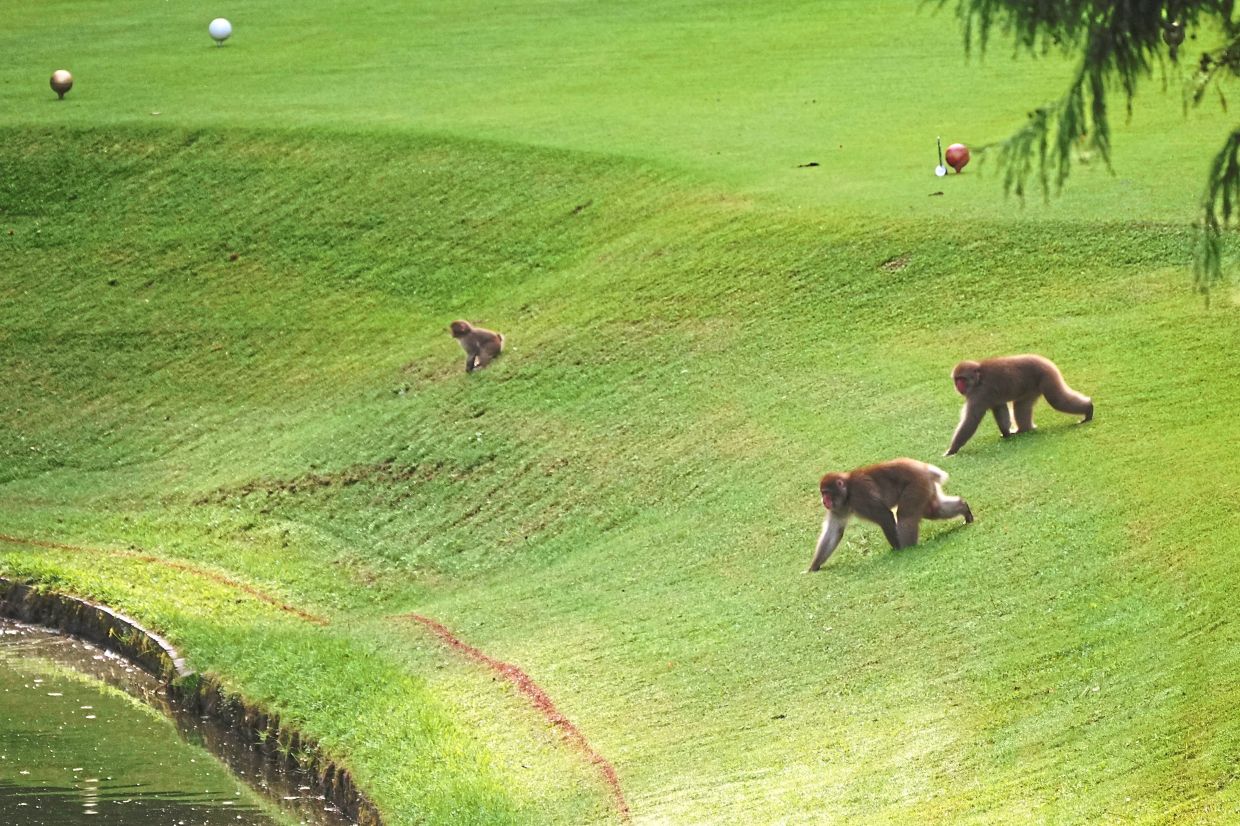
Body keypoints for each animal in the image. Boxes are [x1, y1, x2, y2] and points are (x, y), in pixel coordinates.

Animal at [807, 458, 972, 571]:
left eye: (827, 493)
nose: (824, 501)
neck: (847, 492)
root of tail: (923, 467)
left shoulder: (861, 496)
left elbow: (884, 516)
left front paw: (898, 549)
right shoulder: (838, 508)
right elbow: (834, 532)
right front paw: (813, 567)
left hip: (916, 484)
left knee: (906, 516)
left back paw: (907, 548)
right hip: (925, 487)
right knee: (934, 510)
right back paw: (964, 508)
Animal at [945, 354, 1093, 456]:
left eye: (962, 379)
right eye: (957, 379)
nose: (958, 386)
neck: (978, 379)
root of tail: (1044, 359)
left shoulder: (979, 394)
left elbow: (971, 420)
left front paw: (952, 450)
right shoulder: (989, 396)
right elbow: (1000, 408)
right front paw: (1006, 434)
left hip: (1047, 376)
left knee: (1056, 400)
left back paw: (1089, 409)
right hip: (1031, 387)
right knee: (1021, 405)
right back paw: (1025, 429)